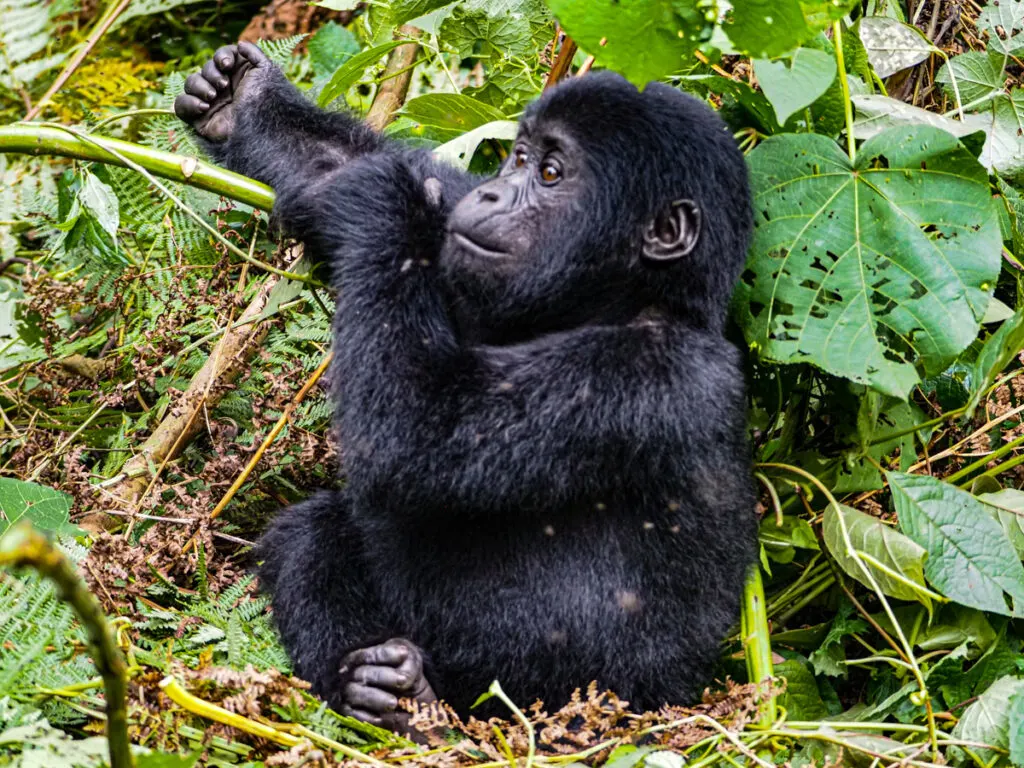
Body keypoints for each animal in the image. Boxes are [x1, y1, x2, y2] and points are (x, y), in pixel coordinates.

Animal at [176, 40, 757, 733]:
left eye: (551, 174)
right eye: (519, 157)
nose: (493, 194)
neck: (620, 300)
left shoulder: (647, 372)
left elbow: (416, 428)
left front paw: (376, 192)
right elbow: (341, 170)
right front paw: (245, 102)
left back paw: (421, 702)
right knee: (313, 532)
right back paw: (377, 688)